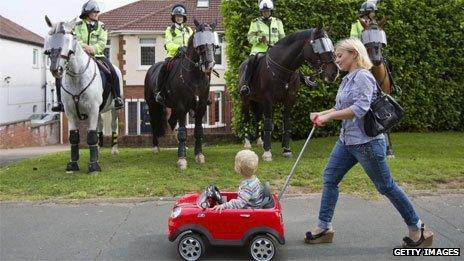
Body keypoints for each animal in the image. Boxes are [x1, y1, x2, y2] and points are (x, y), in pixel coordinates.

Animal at [145, 19, 218, 170]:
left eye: (213, 43)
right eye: (199, 42)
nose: (209, 64)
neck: (195, 77)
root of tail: (151, 68)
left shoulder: (201, 107)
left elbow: (198, 131)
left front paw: (199, 155)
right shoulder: (182, 107)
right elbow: (183, 132)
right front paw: (182, 159)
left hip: (172, 108)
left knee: (171, 122)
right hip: (153, 106)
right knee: (155, 124)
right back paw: (155, 147)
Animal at [239, 26, 338, 160]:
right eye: (318, 45)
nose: (334, 73)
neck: (283, 69)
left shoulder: (289, 99)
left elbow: (286, 122)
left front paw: (286, 150)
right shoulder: (268, 100)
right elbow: (268, 123)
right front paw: (267, 152)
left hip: (258, 102)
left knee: (258, 118)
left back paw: (260, 142)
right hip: (246, 100)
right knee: (247, 119)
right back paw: (248, 143)